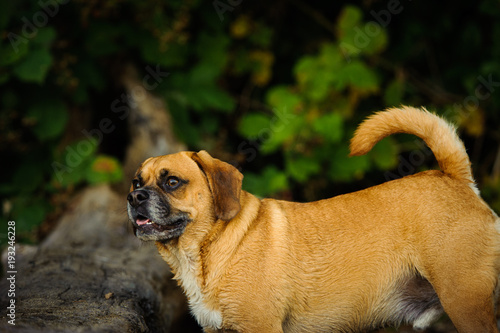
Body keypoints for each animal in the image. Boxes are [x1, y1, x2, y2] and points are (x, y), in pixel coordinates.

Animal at [127, 107, 500, 332]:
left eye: (172, 182)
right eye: (135, 182)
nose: (135, 198)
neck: (210, 250)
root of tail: (454, 177)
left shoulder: (259, 326)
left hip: (465, 303)